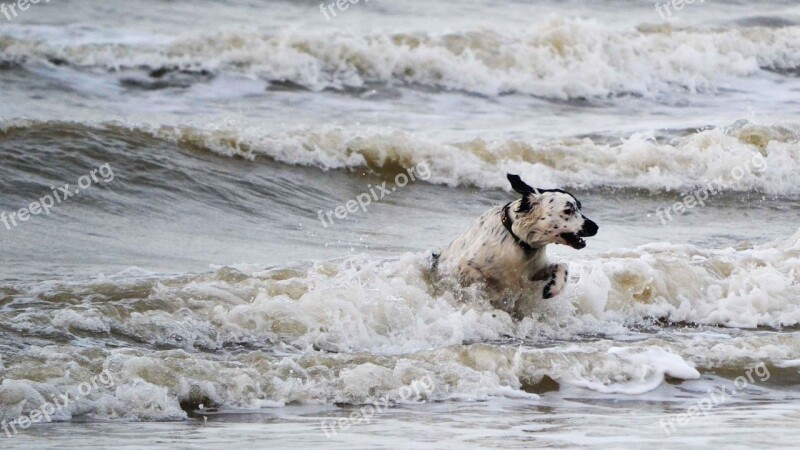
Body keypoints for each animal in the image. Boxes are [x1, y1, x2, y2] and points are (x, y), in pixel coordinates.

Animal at [434, 172, 596, 316]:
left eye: (579, 207)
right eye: (568, 210)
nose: (595, 227)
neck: (518, 241)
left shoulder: (533, 271)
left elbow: (562, 266)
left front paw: (553, 288)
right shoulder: (464, 266)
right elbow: (483, 279)